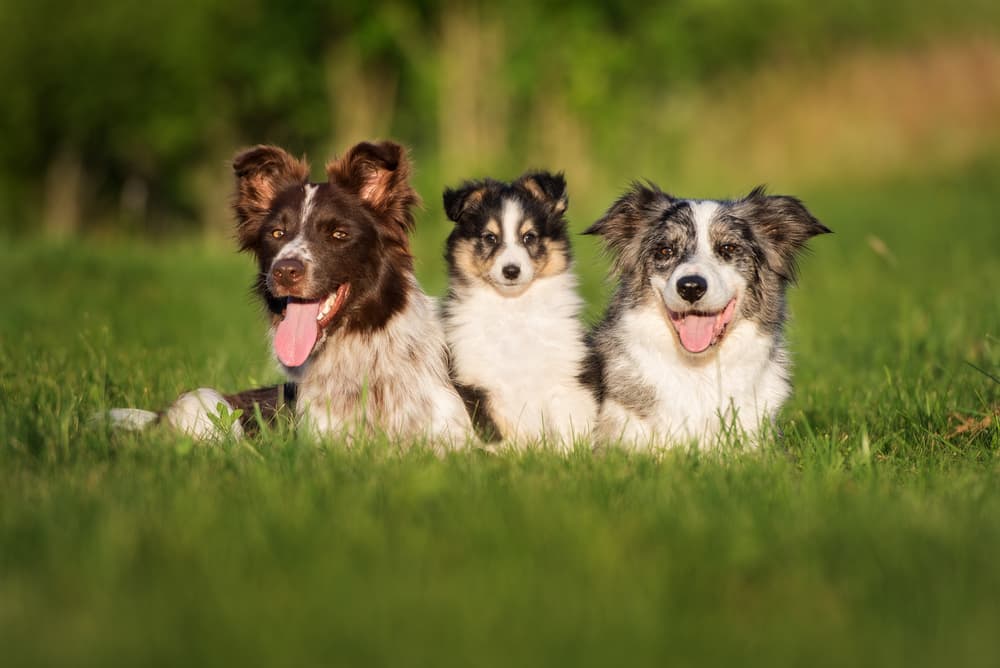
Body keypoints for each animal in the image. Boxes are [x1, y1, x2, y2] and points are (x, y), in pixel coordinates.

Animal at [442, 171, 596, 448]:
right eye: (490, 238)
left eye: (529, 237)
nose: (511, 271)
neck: (513, 309)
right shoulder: (475, 380)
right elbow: (495, 431)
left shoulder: (566, 373)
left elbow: (569, 423)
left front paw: (569, 453)